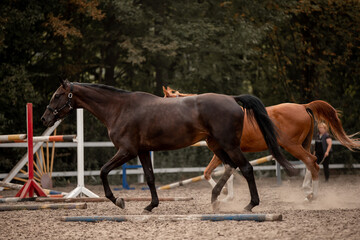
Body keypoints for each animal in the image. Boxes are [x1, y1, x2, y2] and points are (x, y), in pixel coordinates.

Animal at [41, 79, 298, 211]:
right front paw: (150, 205)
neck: (119, 108)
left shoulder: (127, 151)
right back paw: (215, 200)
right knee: (230, 168)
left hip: (229, 145)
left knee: (246, 169)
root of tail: (232, 99)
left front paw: (119, 201)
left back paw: (249, 205)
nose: (45, 118)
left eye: (56, 95)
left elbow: (103, 171)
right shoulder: (142, 151)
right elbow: (150, 178)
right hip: (216, 145)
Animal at [163, 86, 360, 201]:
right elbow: (221, 172)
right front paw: (227, 195)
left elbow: (209, 173)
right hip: (302, 144)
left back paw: (312, 195)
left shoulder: (224, 151)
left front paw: (225, 195)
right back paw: (307, 192)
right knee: (311, 162)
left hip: (292, 146)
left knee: (312, 162)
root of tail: (303, 106)